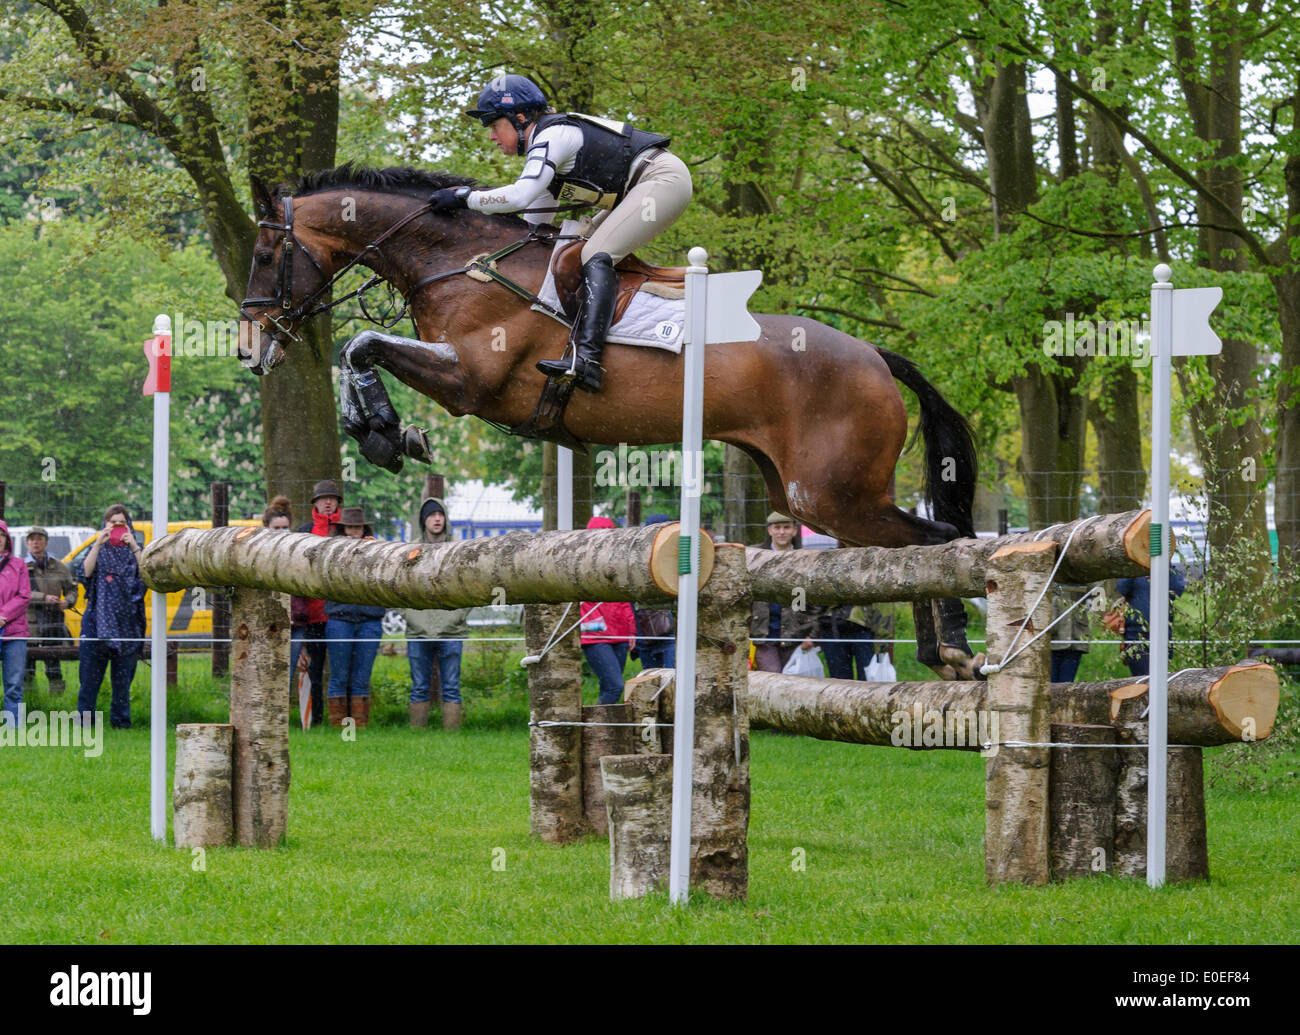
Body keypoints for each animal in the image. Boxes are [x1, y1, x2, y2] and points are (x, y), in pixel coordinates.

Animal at [239, 165, 977, 681]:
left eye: (267, 257)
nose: (253, 348)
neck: (457, 263)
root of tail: (874, 355)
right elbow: (357, 350)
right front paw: (385, 433)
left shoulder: (471, 381)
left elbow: (359, 345)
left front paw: (387, 433)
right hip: (804, 493)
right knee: (907, 553)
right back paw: (942, 652)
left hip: (829, 494)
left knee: (934, 540)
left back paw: (955, 649)